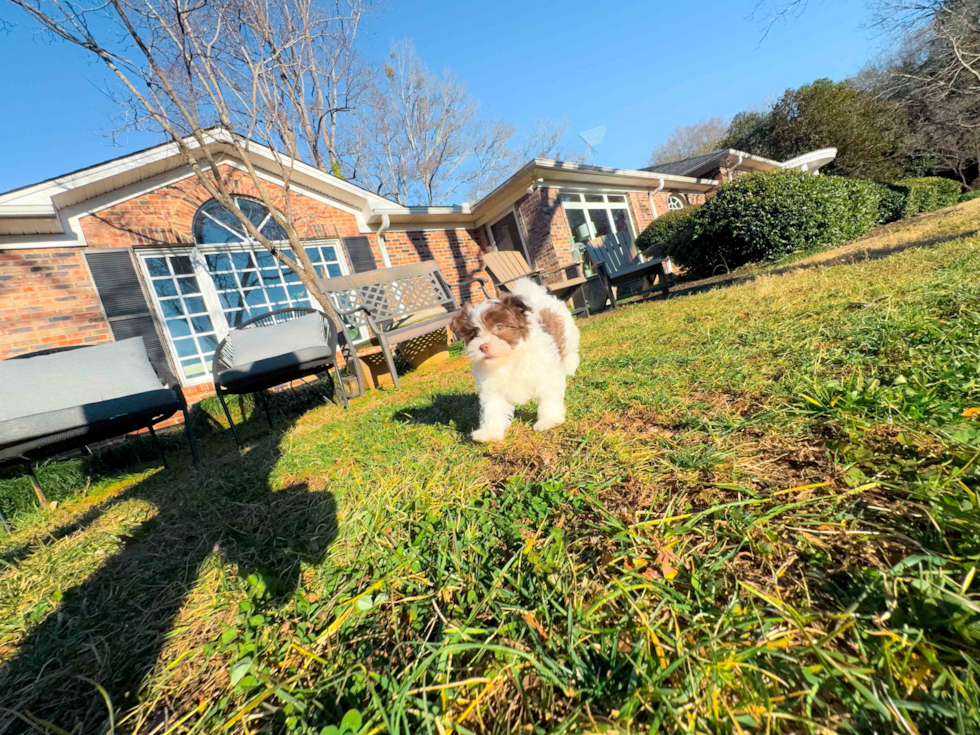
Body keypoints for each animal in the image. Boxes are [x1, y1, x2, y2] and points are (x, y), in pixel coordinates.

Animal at [454, 278, 580, 442]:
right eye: (474, 334)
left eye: (499, 327)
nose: (483, 346)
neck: (510, 358)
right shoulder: (492, 388)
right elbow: (493, 409)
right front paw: (489, 432)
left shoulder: (545, 373)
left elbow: (548, 395)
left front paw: (549, 420)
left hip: (569, 332)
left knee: (571, 350)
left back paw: (571, 365)